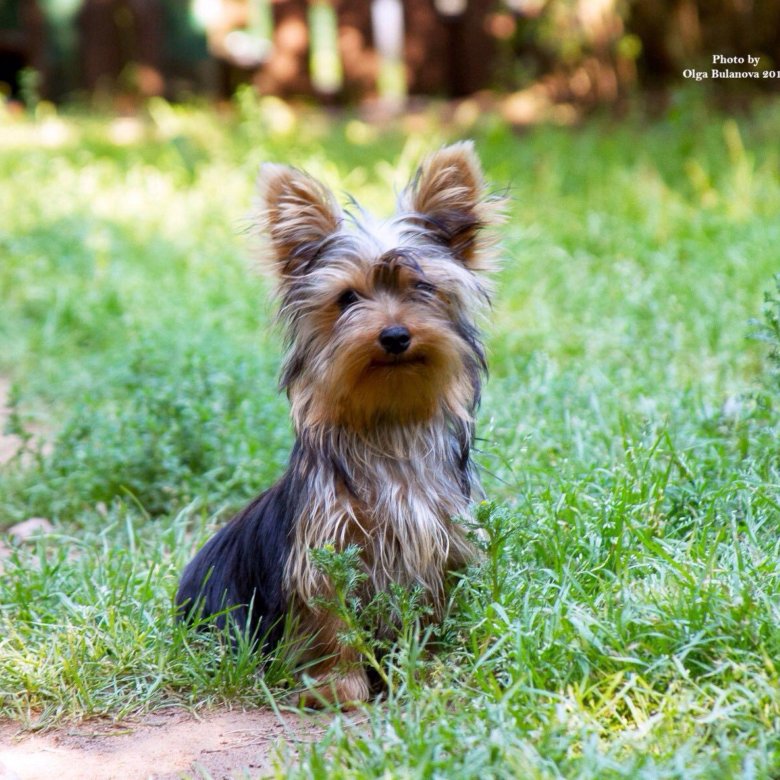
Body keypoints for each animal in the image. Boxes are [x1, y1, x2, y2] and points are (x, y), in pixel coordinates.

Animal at [176, 140, 502, 708]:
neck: (388, 419)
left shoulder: (441, 543)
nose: (394, 335)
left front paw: (431, 672)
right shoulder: (325, 548)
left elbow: (433, 612)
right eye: (348, 298)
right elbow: (329, 620)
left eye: (423, 288)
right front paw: (336, 687)